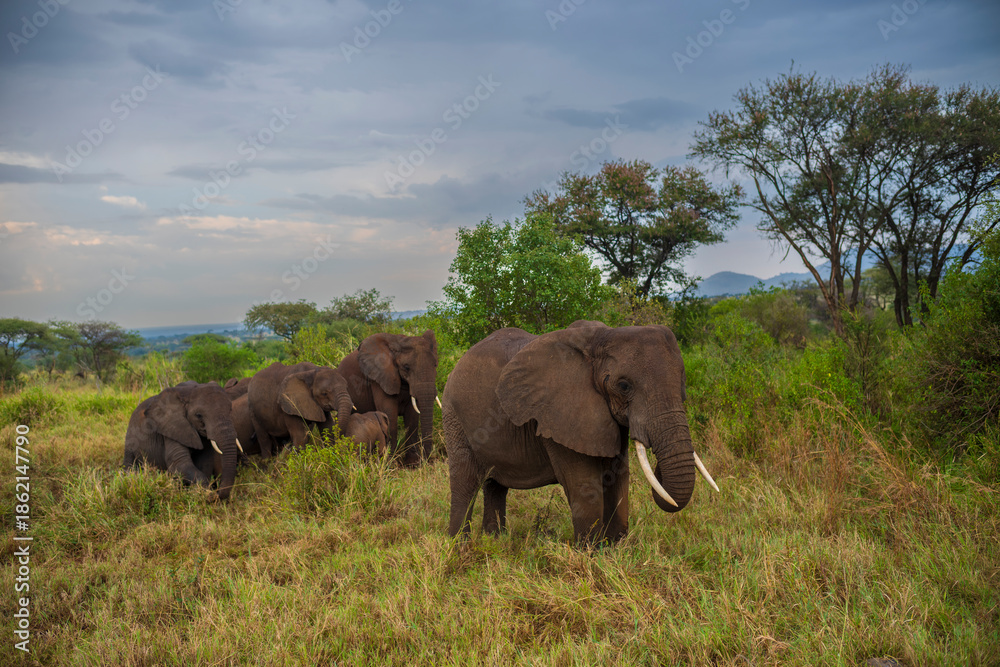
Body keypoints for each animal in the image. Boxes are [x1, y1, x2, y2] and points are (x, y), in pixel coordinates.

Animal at [337, 330, 440, 467]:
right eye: (406, 367)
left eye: (435, 365)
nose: (428, 461)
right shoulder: (379, 378)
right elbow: (390, 413)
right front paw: (393, 465)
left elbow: (412, 417)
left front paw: (413, 464)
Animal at [442, 321, 719, 545]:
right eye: (624, 386)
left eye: (682, 381)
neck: (601, 338)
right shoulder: (560, 413)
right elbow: (585, 485)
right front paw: (590, 553)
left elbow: (618, 479)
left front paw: (614, 549)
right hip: (454, 415)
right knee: (466, 480)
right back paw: (459, 546)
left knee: (495, 485)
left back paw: (495, 541)